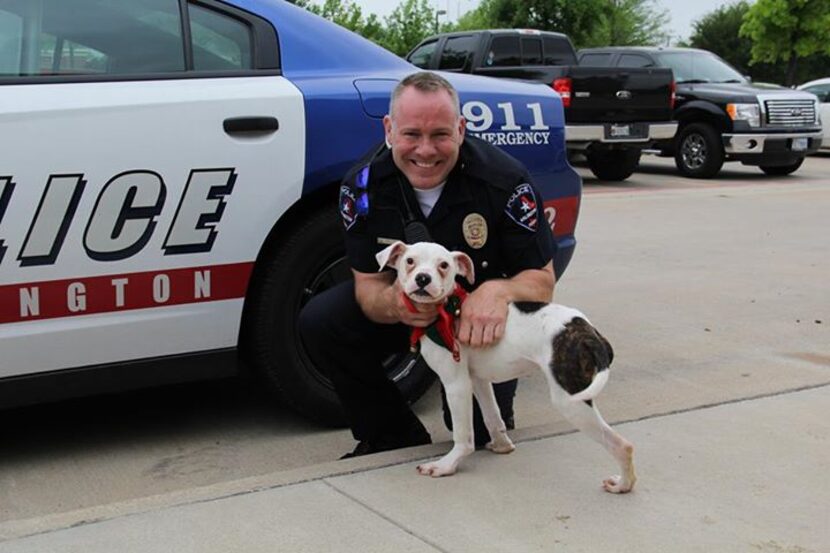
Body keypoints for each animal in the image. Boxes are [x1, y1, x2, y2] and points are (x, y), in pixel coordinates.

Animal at [380, 242, 640, 492]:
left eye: (443, 265)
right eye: (410, 261)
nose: (423, 278)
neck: (447, 312)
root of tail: (588, 332)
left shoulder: (456, 384)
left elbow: (463, 435)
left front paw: (447, 465)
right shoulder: (478, 381)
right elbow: (493, 417)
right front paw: (502, 444)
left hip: (570, 400)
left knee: (622, 445)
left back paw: (622, 485)